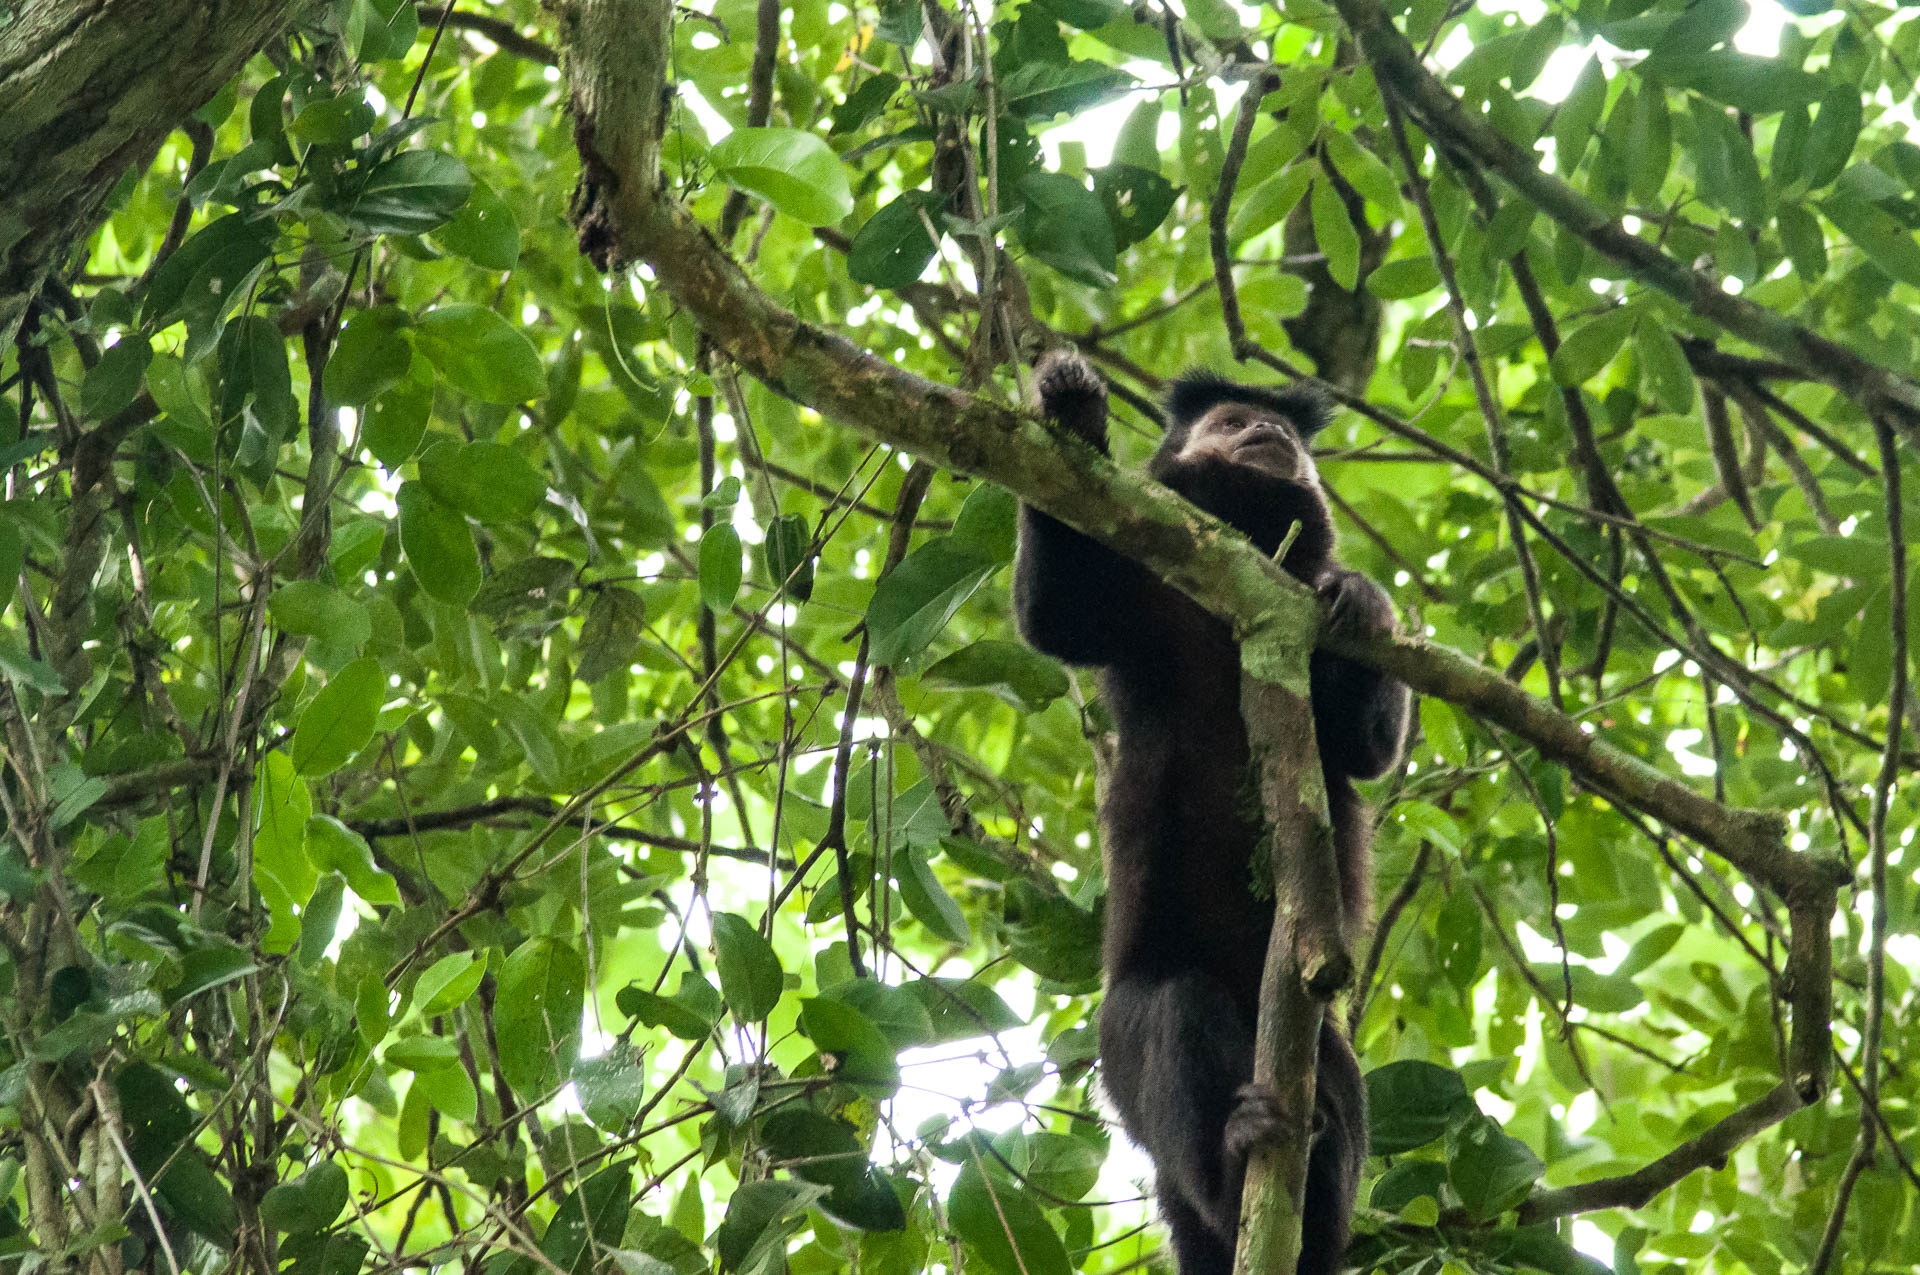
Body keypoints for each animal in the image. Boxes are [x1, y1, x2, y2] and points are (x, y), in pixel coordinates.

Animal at [1013, 350, 1411, 1275]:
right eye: (1232, 422)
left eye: (1283, 429)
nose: (1267, 430)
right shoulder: (1142, 601)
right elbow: (1052, 618)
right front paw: (1074, 414)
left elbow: (1368, 751)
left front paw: (1362, 593)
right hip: (1116, 1055)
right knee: (1171, 1012)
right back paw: (1231, 1164)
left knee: (1339, 1079)